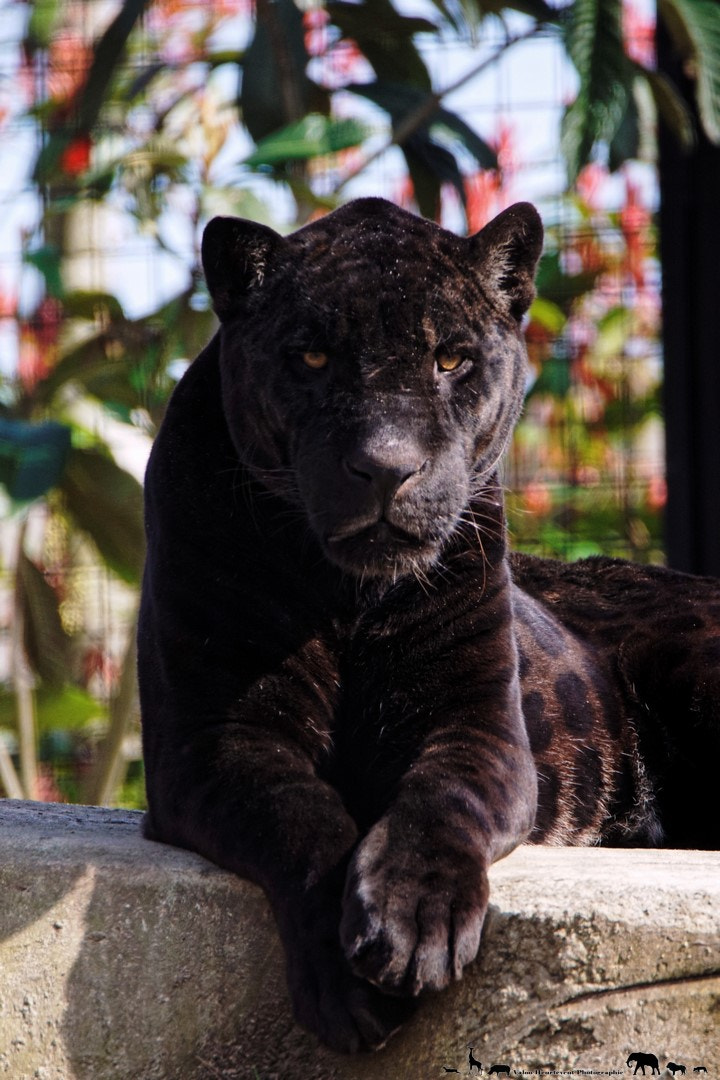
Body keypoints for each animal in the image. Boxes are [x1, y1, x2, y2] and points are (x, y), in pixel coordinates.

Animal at [138, 197, 720, 1055]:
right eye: (312, 356)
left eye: (451, 360)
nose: (387, 467)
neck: (346, 596)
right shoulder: (215, 734)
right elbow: (299, 813)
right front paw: (351, 980)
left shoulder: (475, 723)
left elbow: (440, 800)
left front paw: (418, 923)